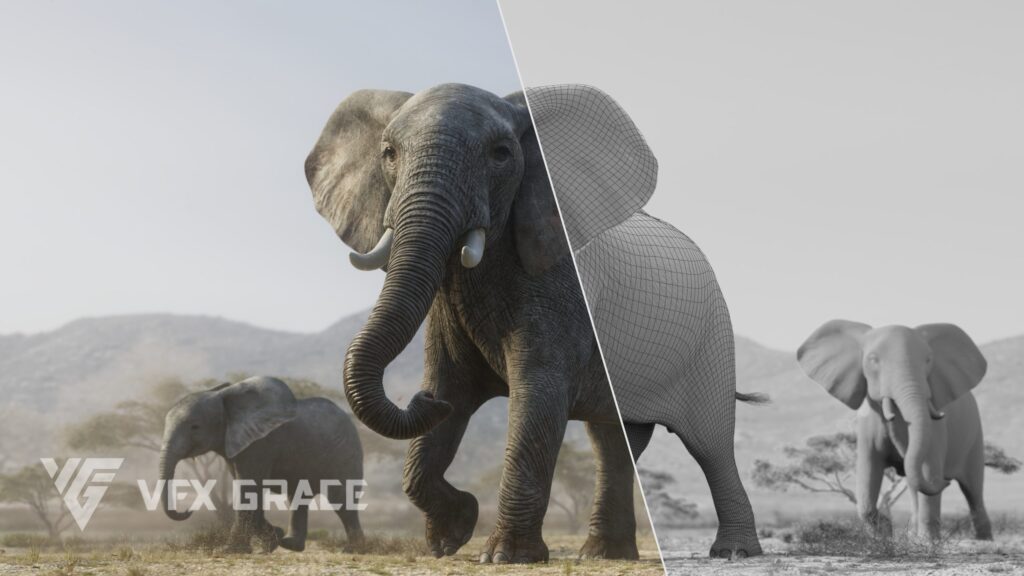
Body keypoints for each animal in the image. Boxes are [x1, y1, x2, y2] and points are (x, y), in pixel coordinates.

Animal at [159, 376, 365, 552]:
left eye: (195, 427)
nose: (189, 509)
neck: (225, 398)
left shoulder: (261, 443)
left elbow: (249, 487)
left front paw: (229, 551)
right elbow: (251, 489)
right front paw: (272, 541)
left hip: (345, 453)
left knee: (341, 500)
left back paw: (353, 550)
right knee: (298, 497)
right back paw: (290, 544)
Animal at [304, 84, 640, 563]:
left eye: (501, 154)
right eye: (388, 153)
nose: (420, 399)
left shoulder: (560, 294)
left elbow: (537, 393)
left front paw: (505, 557)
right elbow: (452, 387)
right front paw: (451, 536)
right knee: (611, 440)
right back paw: (603, 555)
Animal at [798, 320, 991, 540]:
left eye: (928, 360)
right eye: (873, 360)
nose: (945, 482)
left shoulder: (935, 428)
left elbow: (929, 468)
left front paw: (927, 542)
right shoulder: (867, 425)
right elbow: (868, 473)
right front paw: (884, 533)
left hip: (975, 437)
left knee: (973, 490)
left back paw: (984, 539)